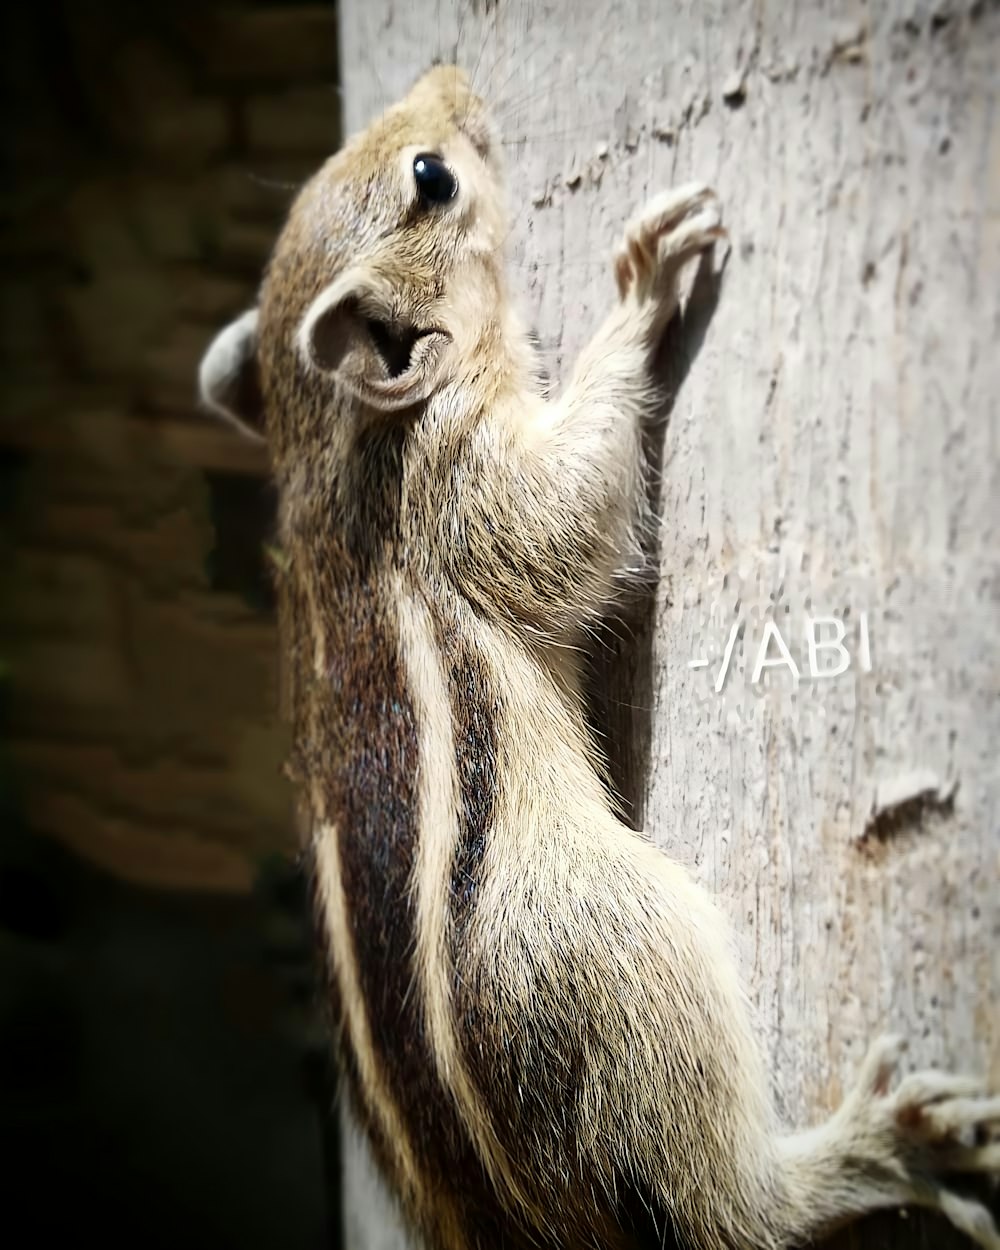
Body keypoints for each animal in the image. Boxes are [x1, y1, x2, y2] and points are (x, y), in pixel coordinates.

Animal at [197, 65, 1000, 1250]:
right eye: (431, 179)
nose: (452, 78)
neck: (330, 448)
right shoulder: (468, 481)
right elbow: (567, 513)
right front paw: (639, 293)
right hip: (602, 942)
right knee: (729, 1208)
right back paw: (866, 1149)